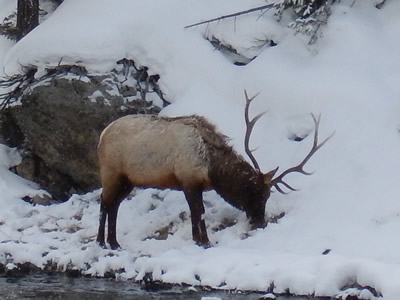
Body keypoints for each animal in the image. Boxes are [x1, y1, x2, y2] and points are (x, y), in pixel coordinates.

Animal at [96, 91, 332, 248]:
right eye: (258, 193)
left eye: (267, 195)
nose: (260, 221)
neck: (212, 168)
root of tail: (101, 135)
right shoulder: (188, 180)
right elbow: (199, 211)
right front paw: (204, 241)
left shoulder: (194, 184)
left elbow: (196, 212)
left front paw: (199, 239)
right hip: (111, 172)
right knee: (105, 202)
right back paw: (101, 241)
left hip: (128, 180)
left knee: (114, 205)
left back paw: (114, 242)